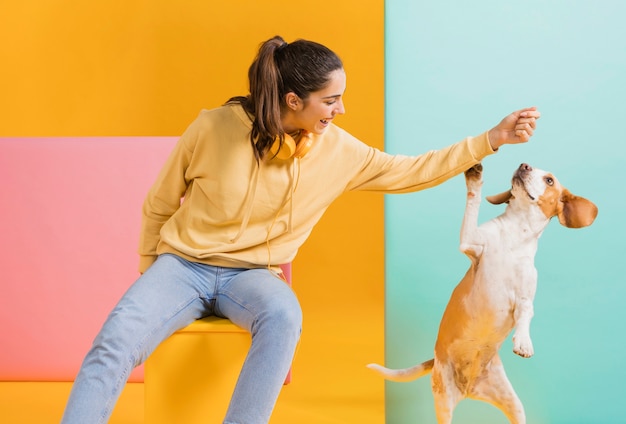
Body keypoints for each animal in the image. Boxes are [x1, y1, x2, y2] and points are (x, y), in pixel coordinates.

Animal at [368, 163, 596, 424]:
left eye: (549, 180)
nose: (524, 165)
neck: (516, 235)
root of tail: (468, 390)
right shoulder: (471, 241)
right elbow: (473, 200)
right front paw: (474, 178)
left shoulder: (525, 298)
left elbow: (525, 315)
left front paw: (523, 341)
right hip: (443, 400)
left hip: (513, 405)